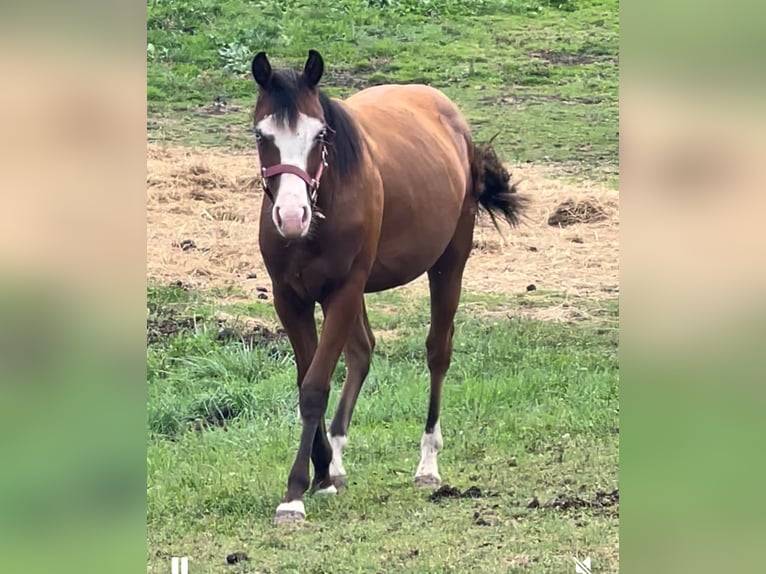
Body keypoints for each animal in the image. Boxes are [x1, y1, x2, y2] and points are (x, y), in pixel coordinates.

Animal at [250, 50, 526, 524]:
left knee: (437, 352)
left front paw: (295, 492)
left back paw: (427, 464)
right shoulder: (290, 298)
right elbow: (309, 377)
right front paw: (324, 472)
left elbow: (315, 387)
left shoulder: (343, 291)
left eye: (319, 134)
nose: (291, 216)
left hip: (448, 264)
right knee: (362, 352)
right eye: (261, 134)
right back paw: (338, 462)